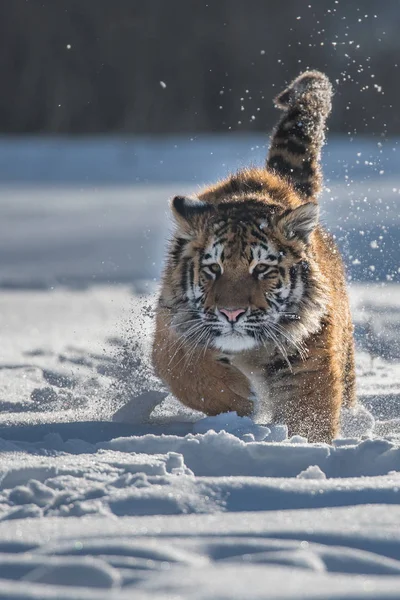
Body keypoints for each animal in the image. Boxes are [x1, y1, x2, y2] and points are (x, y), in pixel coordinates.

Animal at [152, 71, 354, 446]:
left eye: (262, 268)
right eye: (213, 268)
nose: (232, 314)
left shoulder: (307, 352)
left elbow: (310, 411)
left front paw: (304, 446)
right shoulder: (172, 330)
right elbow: (189, 372)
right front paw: (238, 399)